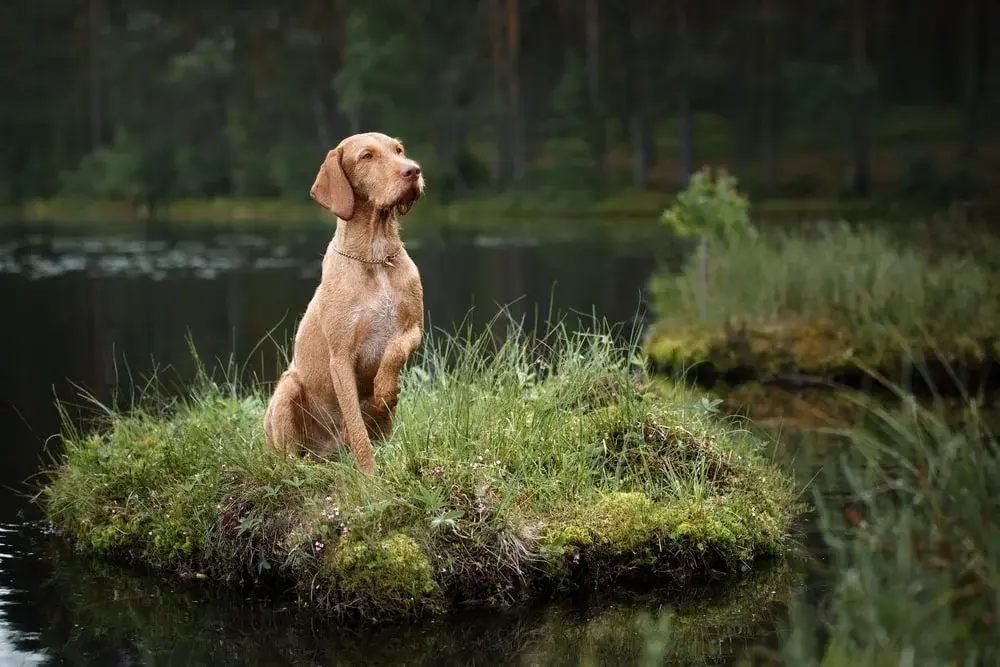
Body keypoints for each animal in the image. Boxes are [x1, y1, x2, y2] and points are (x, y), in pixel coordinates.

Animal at [264, 132, 424, 474]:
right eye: (366, 156)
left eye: (399, 150)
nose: (413, 170)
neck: (376, 257)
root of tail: (327, 453)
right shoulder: (341, 359)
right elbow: (358, 430)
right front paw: (369, 476)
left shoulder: (414, 328)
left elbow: (395, 350)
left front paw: (385, 387)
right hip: (287, 388)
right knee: (290, 459)